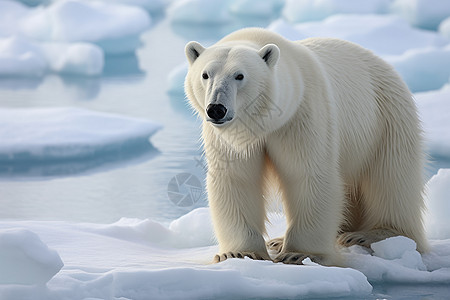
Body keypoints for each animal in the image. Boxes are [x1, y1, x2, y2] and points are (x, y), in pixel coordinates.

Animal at [184, 28, 428, 266]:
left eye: (239, 75)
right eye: (205, 74)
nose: (216, 109)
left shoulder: (301, 115)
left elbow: (307, 174)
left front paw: (298, 254)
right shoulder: (228, 139)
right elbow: (236, 178)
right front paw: (239, 253)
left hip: (385, 118)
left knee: (392, 176)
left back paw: (373, 234)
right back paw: (279, 240)